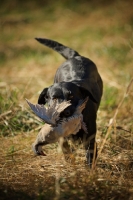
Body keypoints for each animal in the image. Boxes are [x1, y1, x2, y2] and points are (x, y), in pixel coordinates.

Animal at [35, 38, 103, 166]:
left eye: (71, 96)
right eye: (55, 98)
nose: (65, 112)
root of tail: (75, 56)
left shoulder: (89, 135)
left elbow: (90, 152)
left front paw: (90, 168)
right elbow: (64, 146)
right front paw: (69, 161)